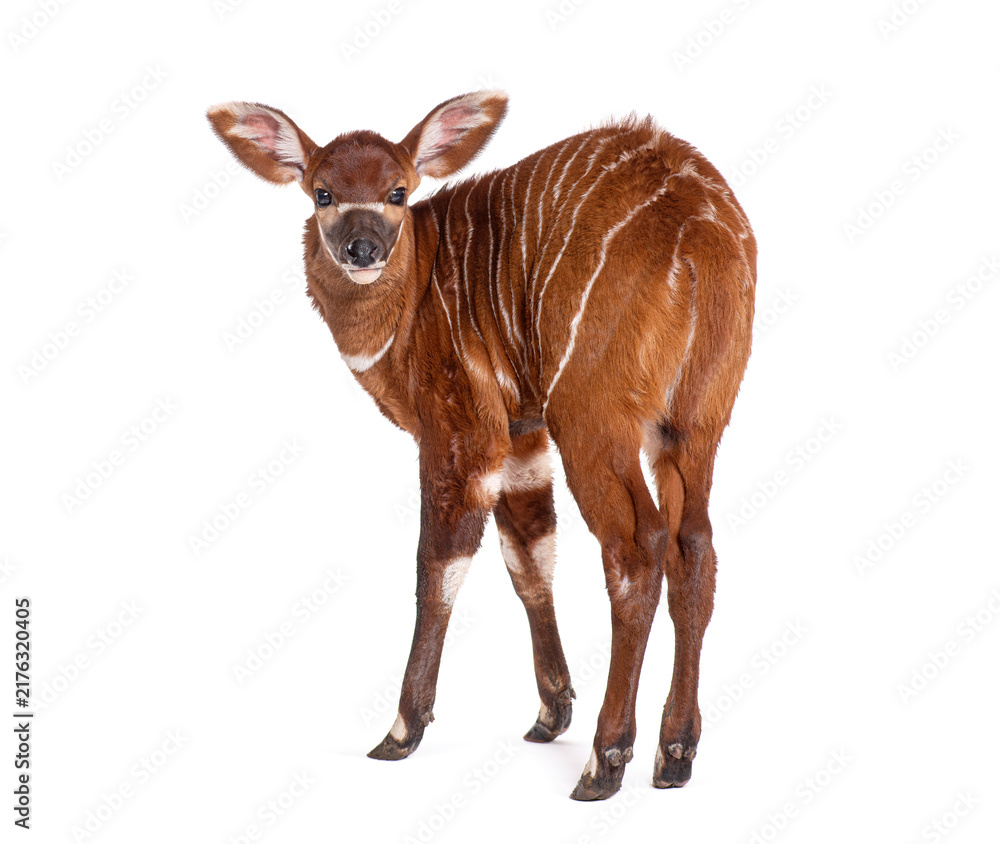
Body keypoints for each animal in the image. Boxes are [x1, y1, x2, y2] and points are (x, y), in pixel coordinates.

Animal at [208, 90, 756, 800]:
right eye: (322, 192)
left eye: (397, 190)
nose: (362, 248)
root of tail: (699, 235)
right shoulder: (521, 434)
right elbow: (528, 554)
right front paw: (550, 713)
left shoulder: (463, 429)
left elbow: (438, 565)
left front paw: (401, 732)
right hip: (693, 426)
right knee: (695, 547)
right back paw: (675, 753)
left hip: (592, 416)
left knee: (638, 547)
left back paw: (605, 762)